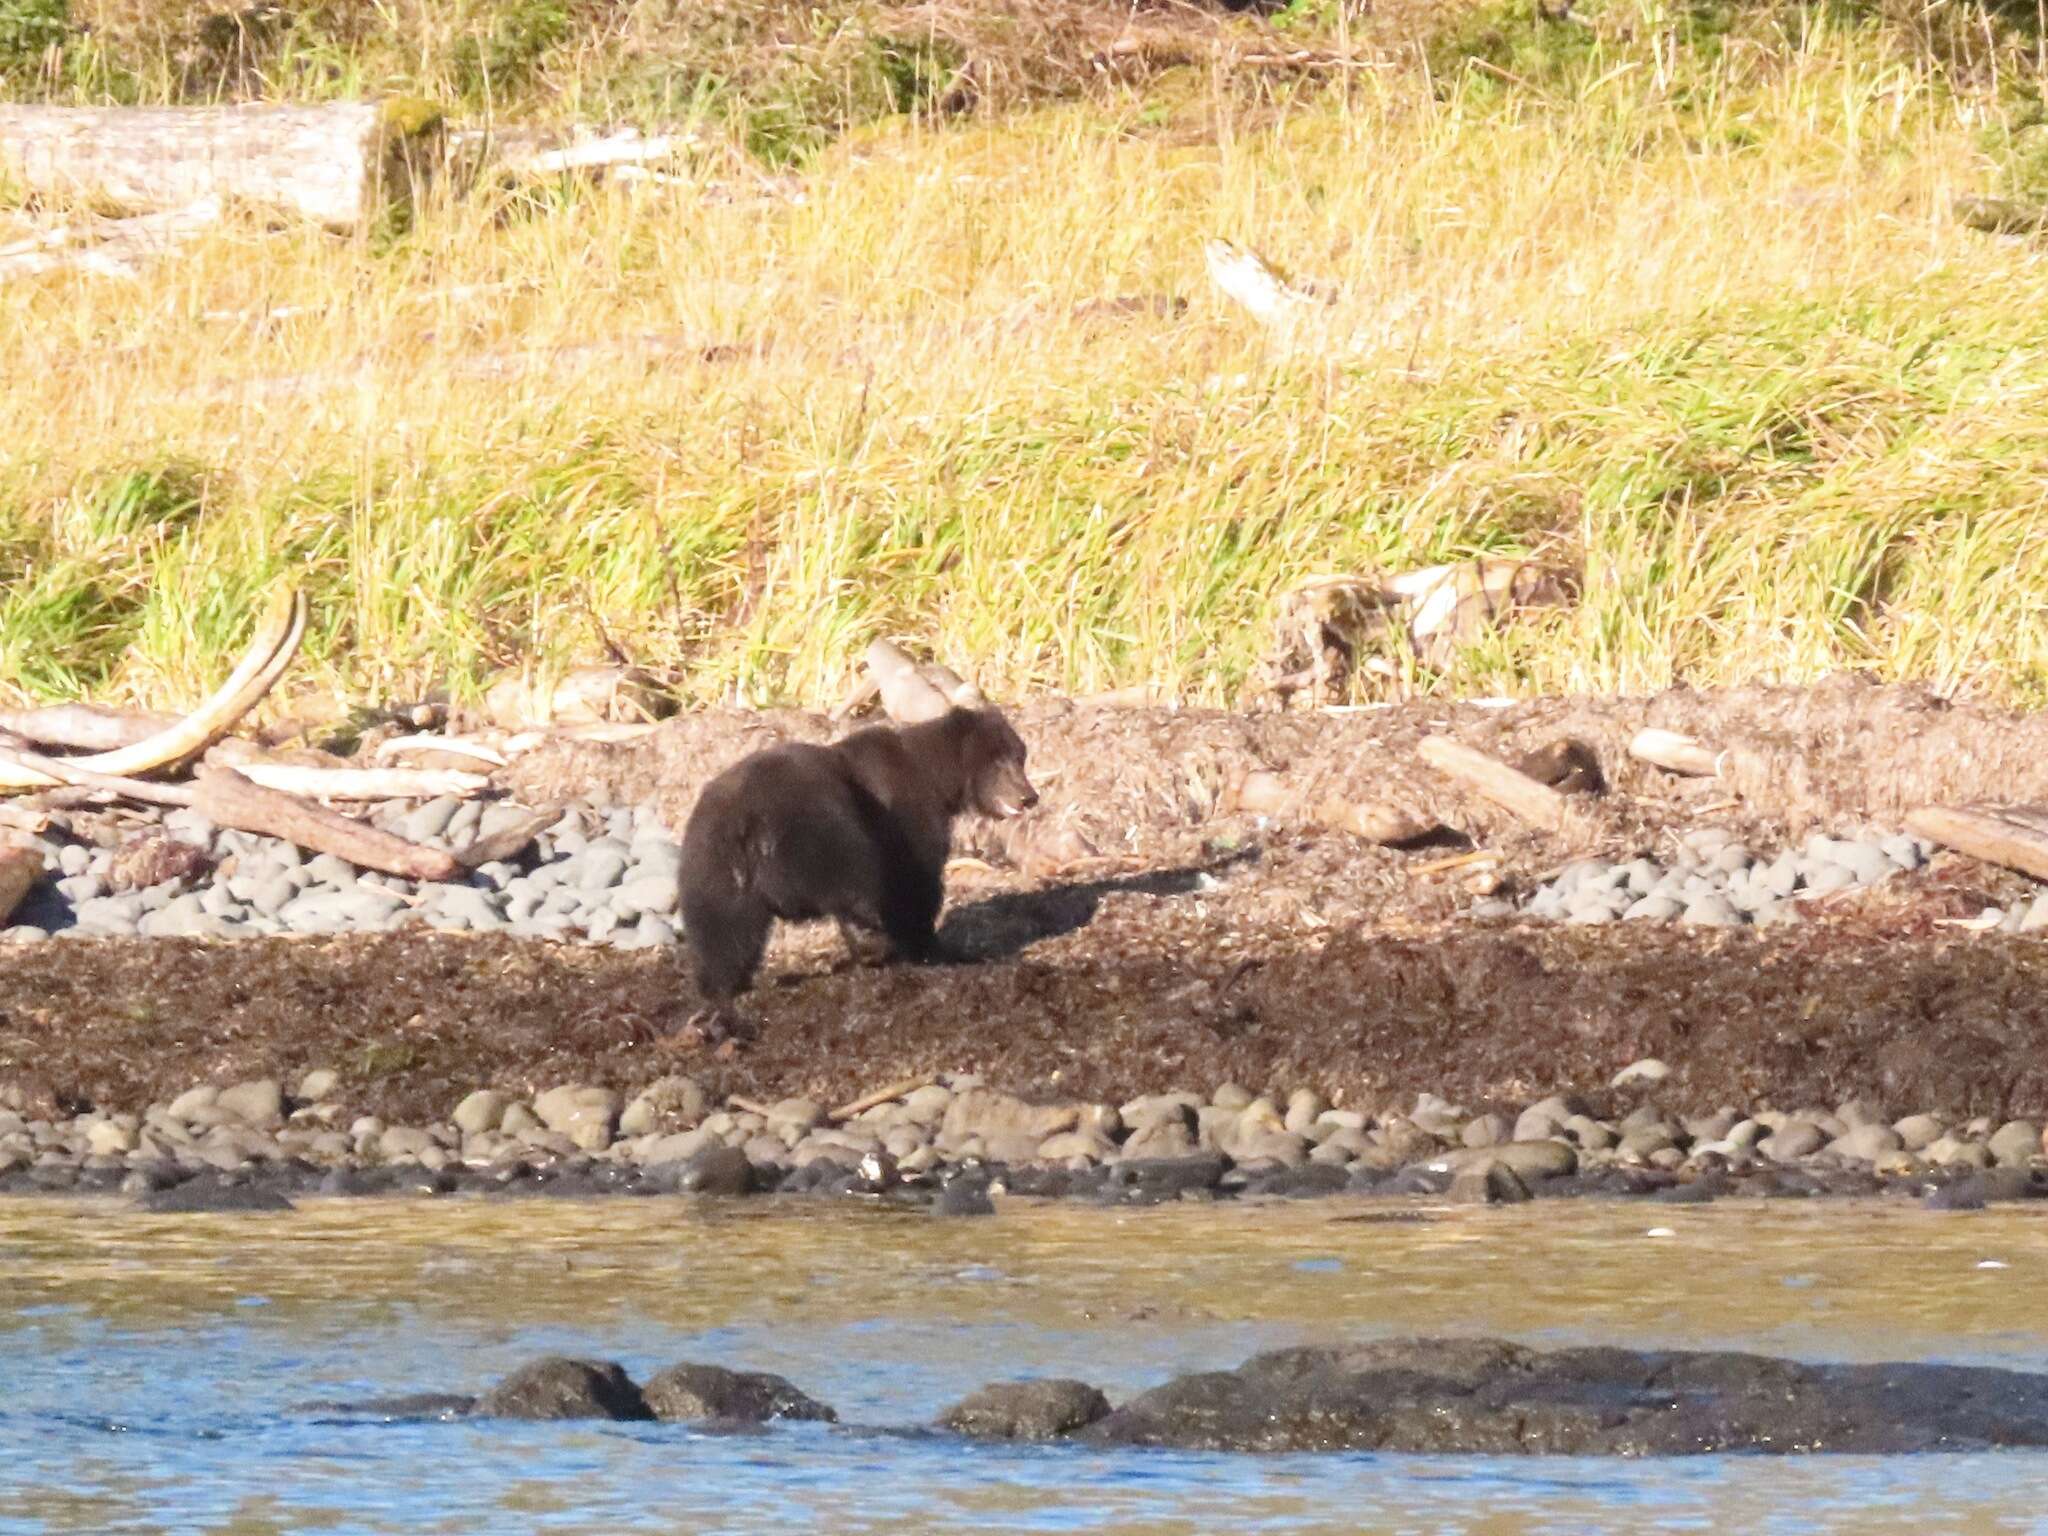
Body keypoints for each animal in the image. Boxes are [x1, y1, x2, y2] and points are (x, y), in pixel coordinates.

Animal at [679, 708, 1040, 1036]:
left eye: (1020, 756)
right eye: (998, 761)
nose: (1028, 797)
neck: (935, 777)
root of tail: (750, 824)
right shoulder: (904, 817)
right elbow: (915, 882)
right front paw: (936, 949)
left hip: (712, 866)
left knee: (722, 934)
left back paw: (723, 993)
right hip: (817, 830)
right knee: (853, 884)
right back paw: (873, 944)